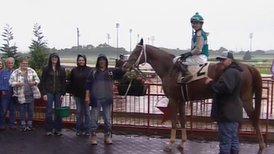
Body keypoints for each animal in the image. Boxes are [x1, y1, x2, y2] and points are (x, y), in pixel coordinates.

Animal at [124, 39, 266, 152]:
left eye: (136, 51)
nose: (125, 65)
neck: (170, 68)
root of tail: (248, 67)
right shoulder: (181, 100)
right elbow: (182, 120)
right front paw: (182, 143)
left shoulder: (173, 100)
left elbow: (174, 122)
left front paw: (170, 144)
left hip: (245, 98)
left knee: (253, 118)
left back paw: (261, 145)